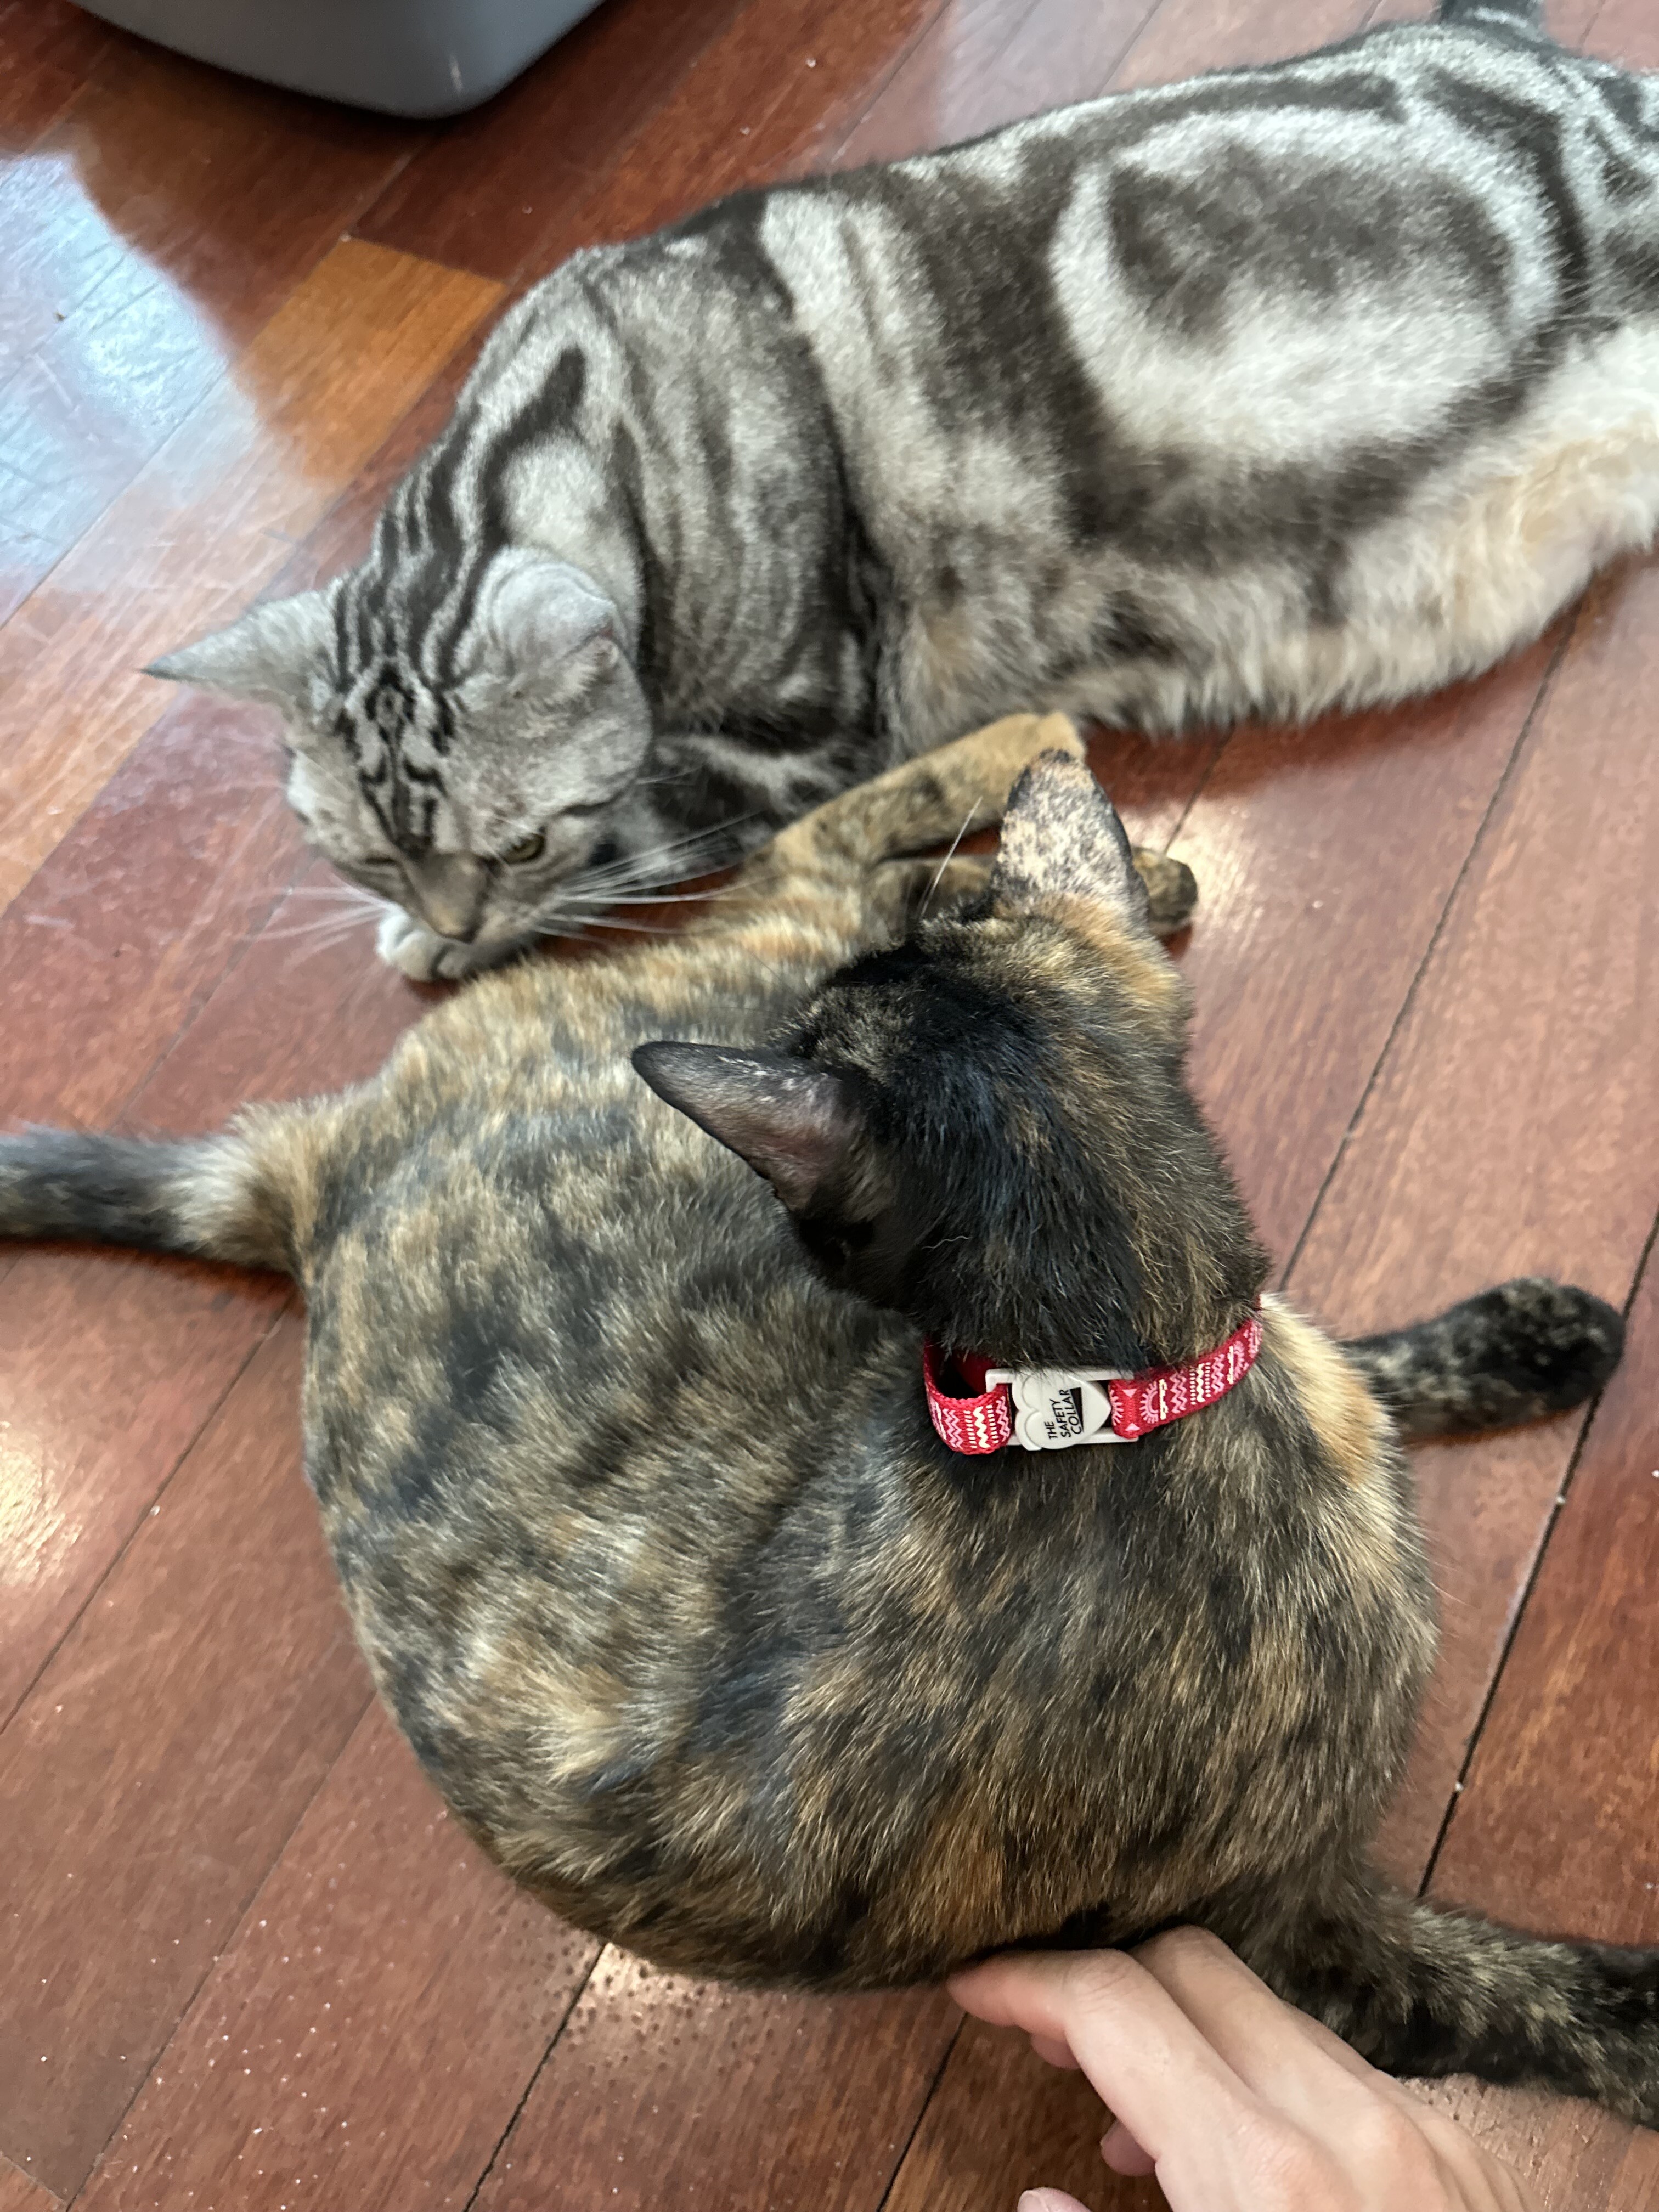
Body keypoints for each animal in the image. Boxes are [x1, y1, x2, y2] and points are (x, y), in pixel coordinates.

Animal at [0, 715, 1647, 2116]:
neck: (1100, 1396)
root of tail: (316, 1180)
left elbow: (1369, 1359)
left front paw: (1529, 1342)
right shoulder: (1292, 1921)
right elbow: (1514, 1992)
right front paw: (1633, 2018)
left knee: (835, 863)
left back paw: (1096, 839)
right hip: (726, 967)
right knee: (799, 858)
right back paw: (1035, 752)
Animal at [145, 0, 1659, 980]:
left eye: (516, 846)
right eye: (365, 853)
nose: (449, 915)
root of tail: (1532, 40)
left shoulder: (801, 738)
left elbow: (637, 825)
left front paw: (443, 941)